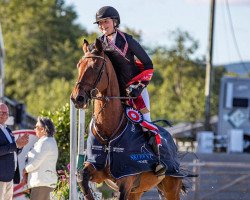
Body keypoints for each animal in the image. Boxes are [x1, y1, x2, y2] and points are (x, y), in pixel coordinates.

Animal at [70, 38, 186, 199]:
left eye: (96, 66)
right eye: (78, 65)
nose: (77, 98)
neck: (109, 131)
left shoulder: (126, 179)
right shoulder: (96, 168)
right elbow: (82, 178)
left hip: (171, 186)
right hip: (137, 191)